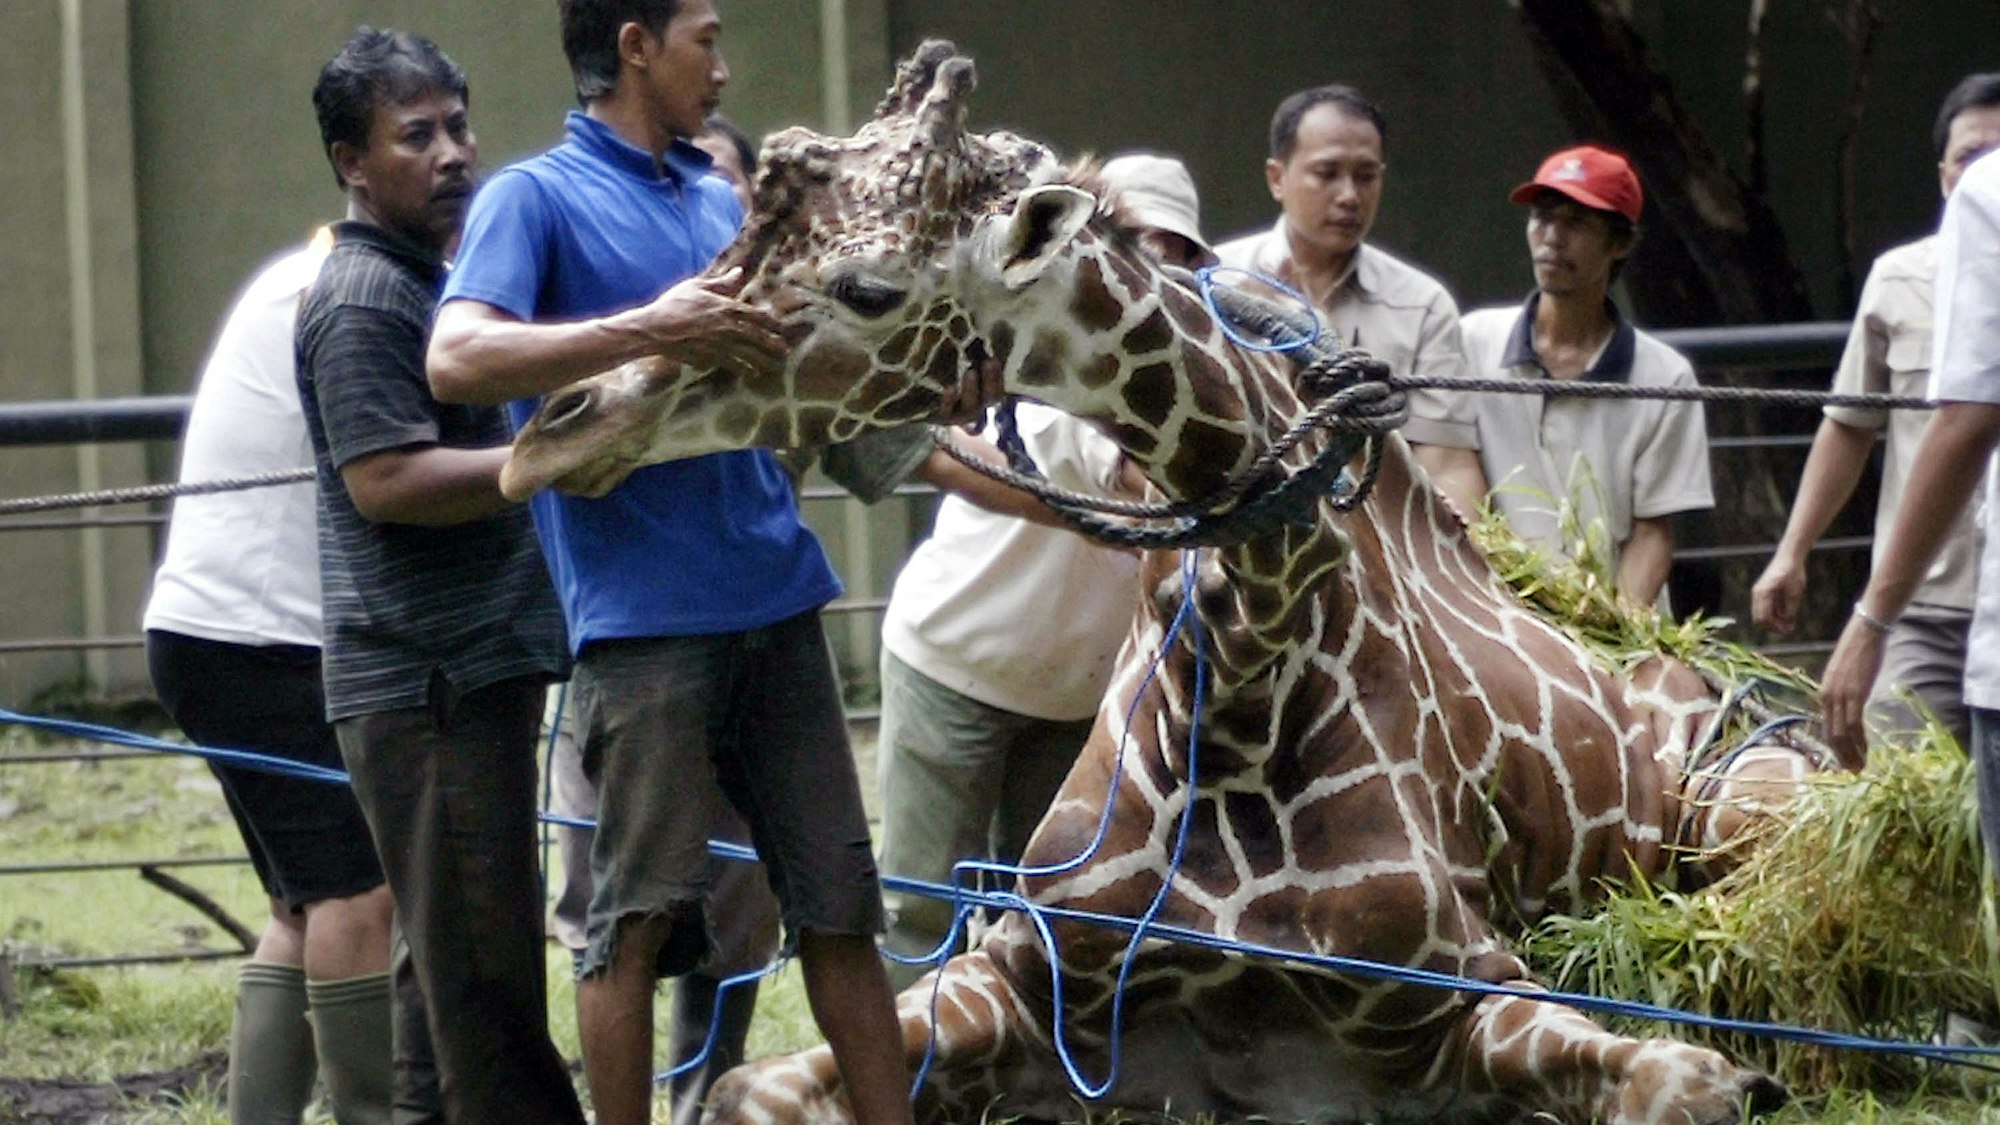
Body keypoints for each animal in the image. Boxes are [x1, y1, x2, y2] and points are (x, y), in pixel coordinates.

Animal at [504, 42, 1812, 1124]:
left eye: (867, 287)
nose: (554, 430)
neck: (1244, 672)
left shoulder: (1457, 992)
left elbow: (1691, 1080)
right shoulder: (1031, 987)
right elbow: (750, 1089)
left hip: (1750, 803)